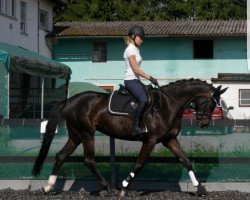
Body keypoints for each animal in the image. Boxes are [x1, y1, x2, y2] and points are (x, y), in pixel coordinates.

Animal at [32, 78, 228, 197]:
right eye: (212, 103)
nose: (204, 123)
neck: (168, 105)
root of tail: (69, 101)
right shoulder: (150, 141)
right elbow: (139, 164)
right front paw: (124, 188)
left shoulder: (169, 140)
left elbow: (186, 161)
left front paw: (200, 188)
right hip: (87, 134)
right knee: (89, 160)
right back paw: (108, 189)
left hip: (76, 135)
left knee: (61, 156)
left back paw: (48, 186)